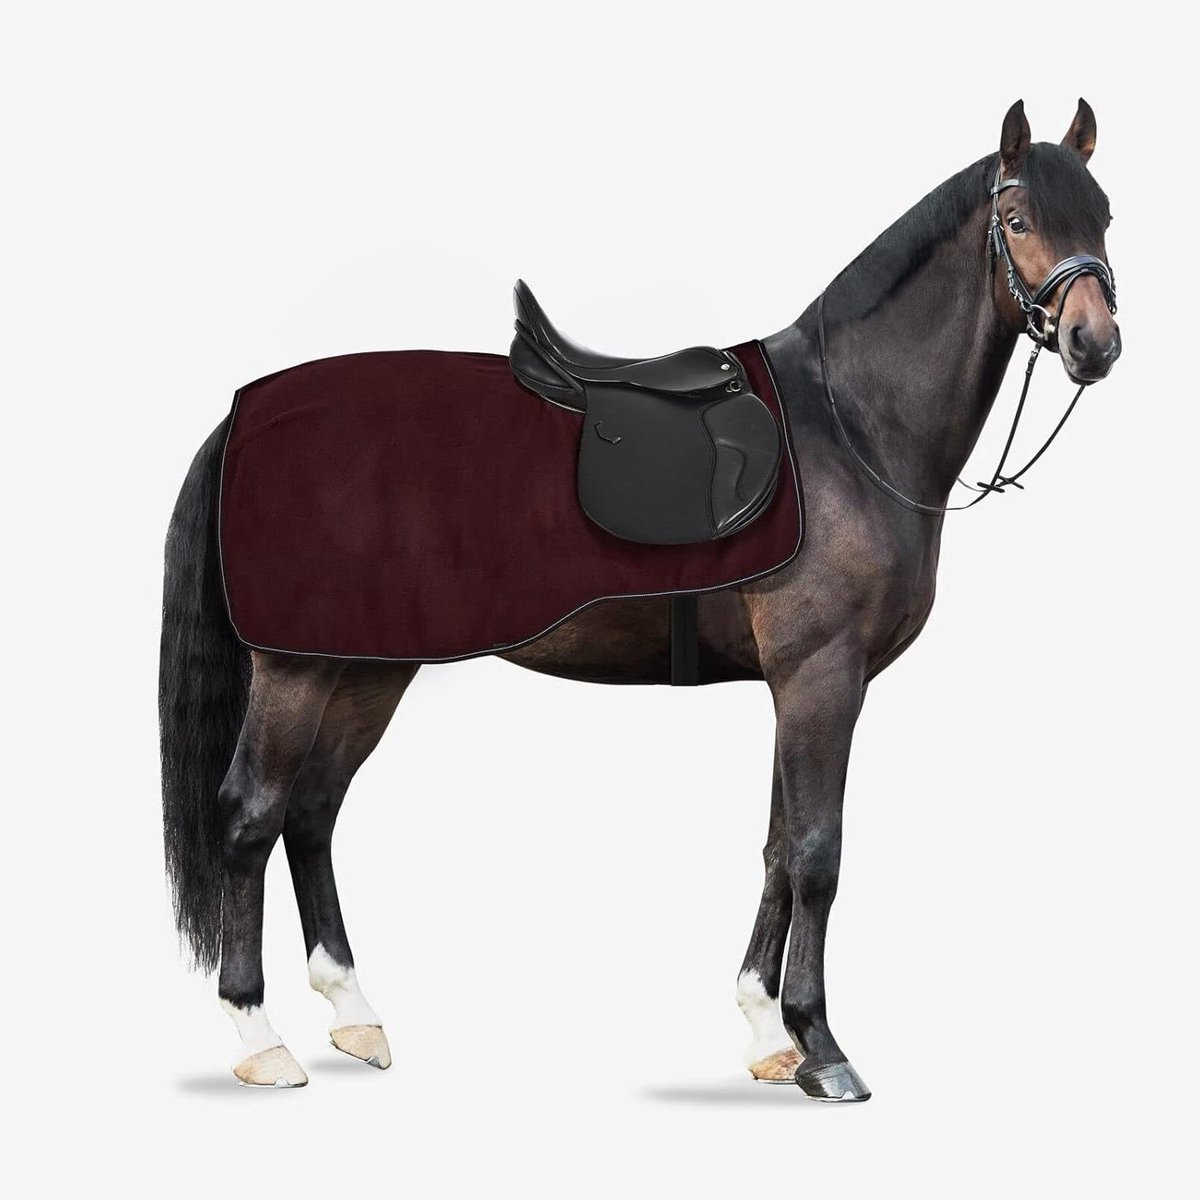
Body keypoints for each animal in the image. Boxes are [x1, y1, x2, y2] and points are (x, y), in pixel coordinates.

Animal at [159, 99, 1120, 1098]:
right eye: (1020, 221)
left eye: (1104, 217)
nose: (1095, 344)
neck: (850, 423)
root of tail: (245, 413)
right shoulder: (823, 676)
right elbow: (818, 853)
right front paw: (822, 1045)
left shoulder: (798, 684)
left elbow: (778, 846)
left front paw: (766, 1031)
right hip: (298, 668)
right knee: (249, 817)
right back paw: (258, 1035)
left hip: (367, 666)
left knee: (312, 814)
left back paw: (353, 1014)